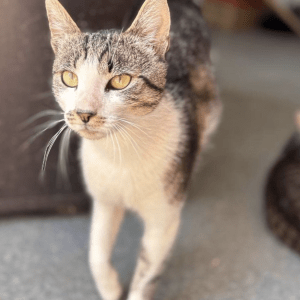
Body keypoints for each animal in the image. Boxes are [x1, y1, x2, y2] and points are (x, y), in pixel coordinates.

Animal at [45, 0, 223, 298]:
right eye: (69, 77)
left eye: (120, 81)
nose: (83, 113)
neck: (121, 154)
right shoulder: (104, 199)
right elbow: (96, 252)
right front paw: (110, 287)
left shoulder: (163, 221)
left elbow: (146, 275)